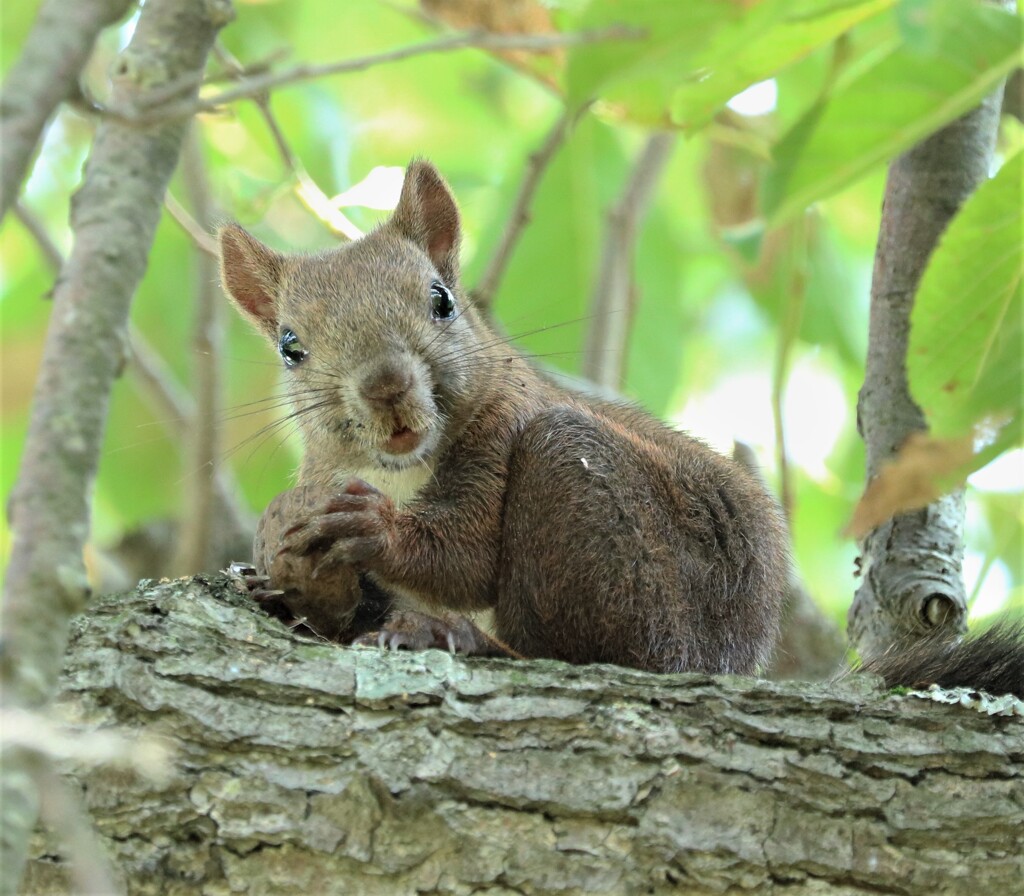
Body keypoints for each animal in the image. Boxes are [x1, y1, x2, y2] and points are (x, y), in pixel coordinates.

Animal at [218, 160, 790, 675]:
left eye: (442, 300)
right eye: (290, 347)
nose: (386, 386)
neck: (396, 470)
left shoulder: (504, 424)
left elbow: (464, 559)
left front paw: (371, 525)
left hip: (587, 495)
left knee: (606, 654)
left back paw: (460, 637)